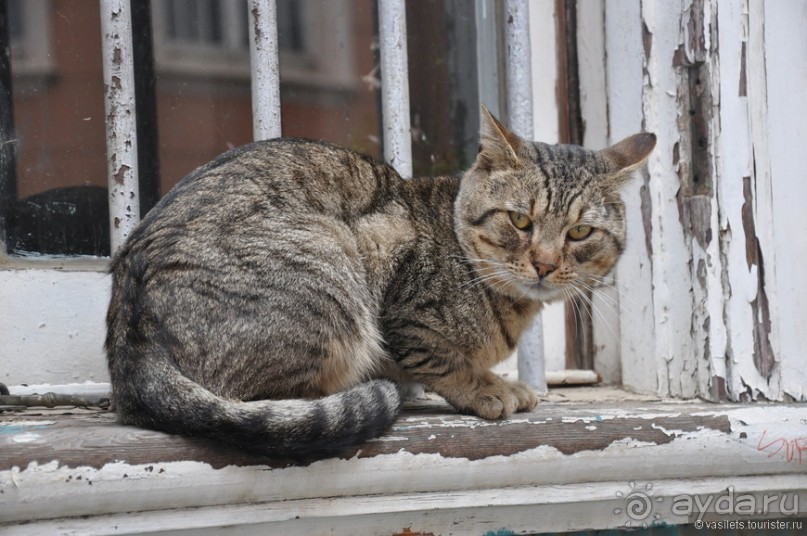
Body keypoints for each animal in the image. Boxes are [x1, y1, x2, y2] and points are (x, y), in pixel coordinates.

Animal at [105, 107, 656, 458]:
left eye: (580, 232)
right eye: (520, 221)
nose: (543, 263)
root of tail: (130, 343)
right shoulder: (396, 280)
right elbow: (442, 358)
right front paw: (487, 386)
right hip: (331, 266)